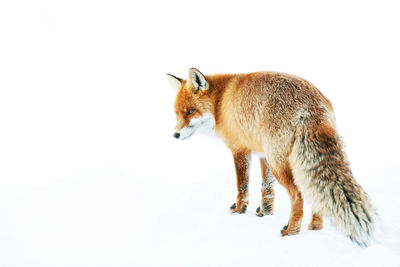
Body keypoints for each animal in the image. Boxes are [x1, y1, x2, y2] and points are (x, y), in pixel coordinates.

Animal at [166, 68, 378, 247]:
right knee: (314, 193)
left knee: (298, 195)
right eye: (176, 113)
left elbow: (242, 186)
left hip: (279, 163)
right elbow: (266, 188)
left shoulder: (240, 150)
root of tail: (311, 104)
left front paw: (239, 210)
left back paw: (292, 231)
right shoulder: (262, 155)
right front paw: (265, 212)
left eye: (190, 111)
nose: (175, 135)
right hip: (282, 160)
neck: (220, 102)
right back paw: (315, 229)